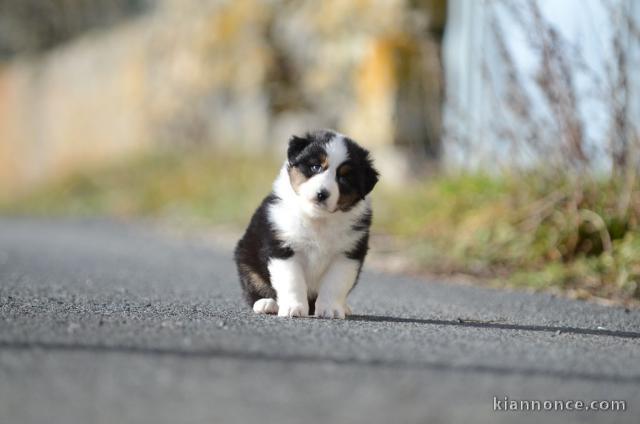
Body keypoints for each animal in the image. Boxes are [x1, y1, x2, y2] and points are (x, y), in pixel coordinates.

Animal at [234, 129, 376, 318]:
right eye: (316, 167)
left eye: (344, 178)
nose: (322, 194)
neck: (318, 220)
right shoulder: (283, 248)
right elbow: (292, 281)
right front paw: (293, 308)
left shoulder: (347, 255)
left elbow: (334, 284)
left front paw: (331, 309)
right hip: (246, 260)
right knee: (255, 286)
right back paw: (267, 304)